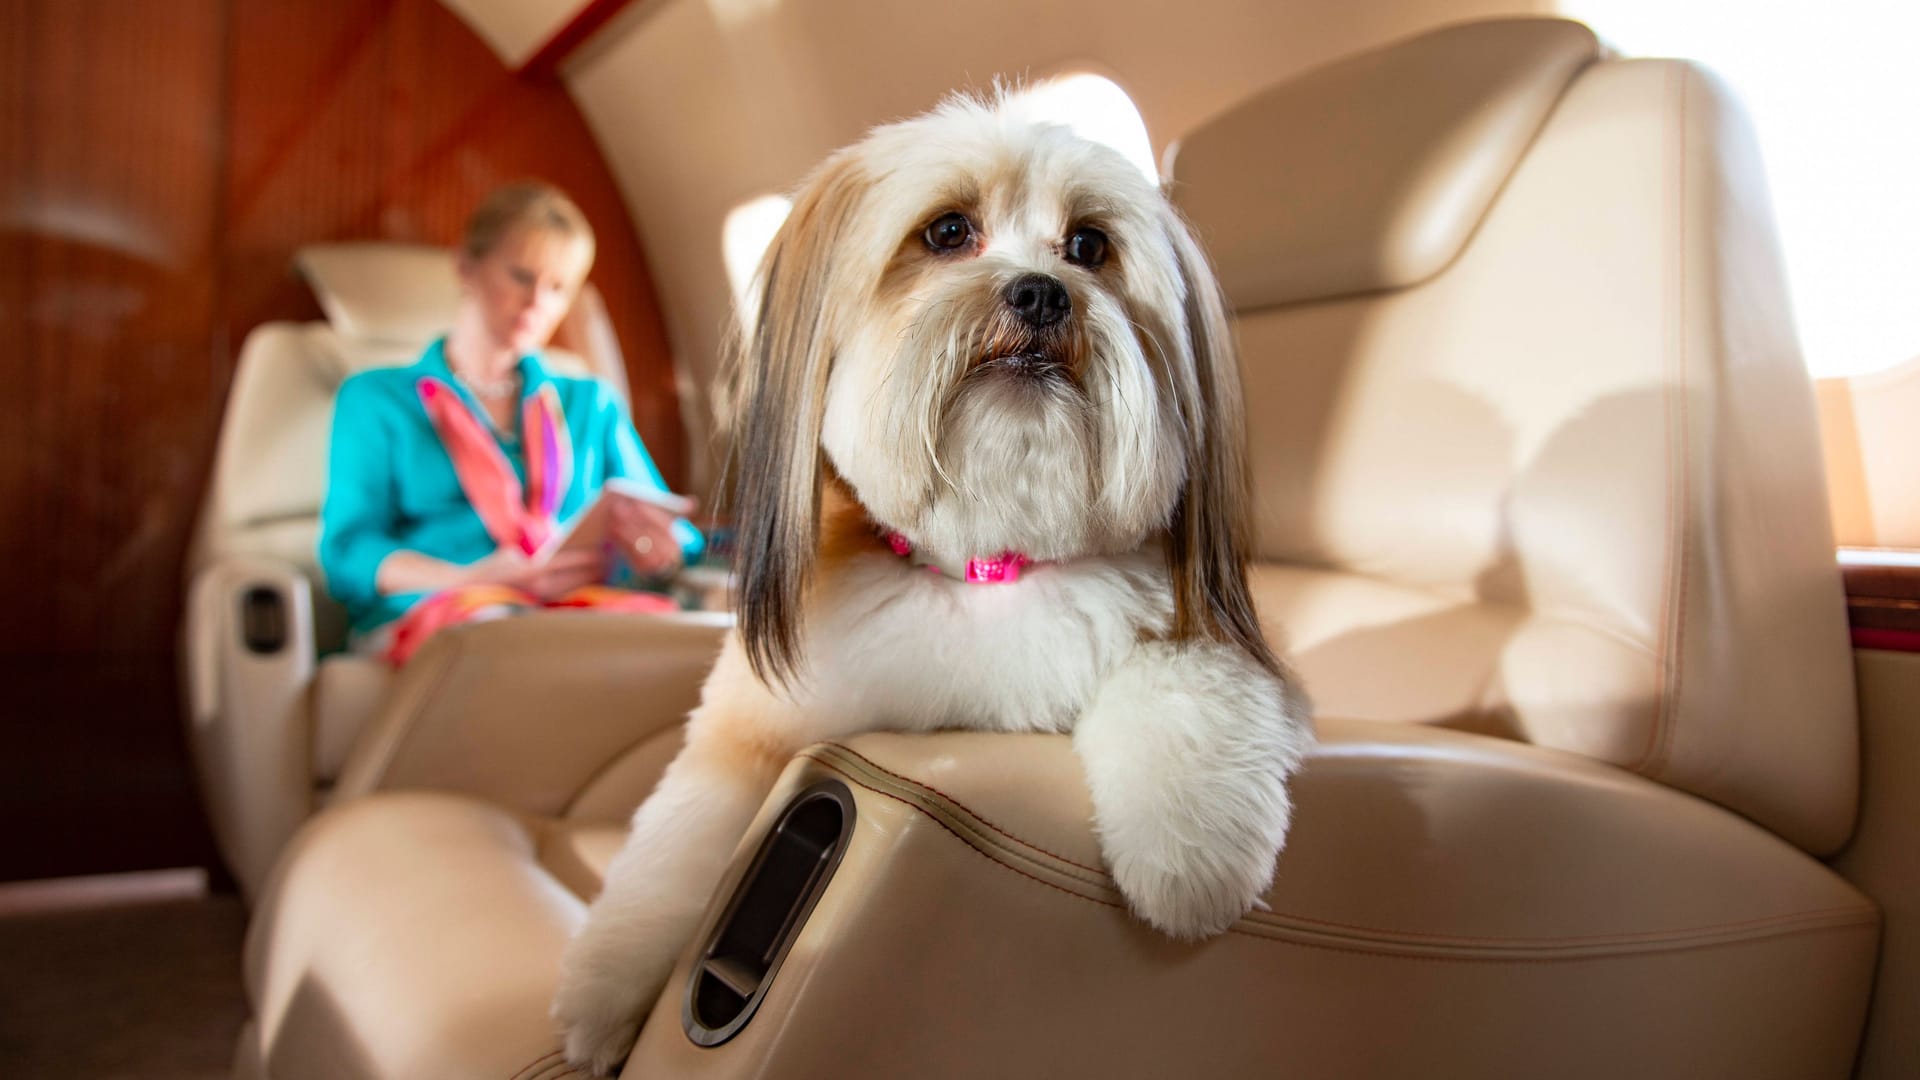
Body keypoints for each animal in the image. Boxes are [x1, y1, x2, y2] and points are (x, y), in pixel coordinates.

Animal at [549, 92, 1313, 1068]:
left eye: (1090, 246)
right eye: (948, 230)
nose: (1040, 291)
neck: (986, 563)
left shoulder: (1214, 641)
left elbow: (1187, 682)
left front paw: (1191, 854)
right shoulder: (750, 730)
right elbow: (676, 850)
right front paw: (604, 992)